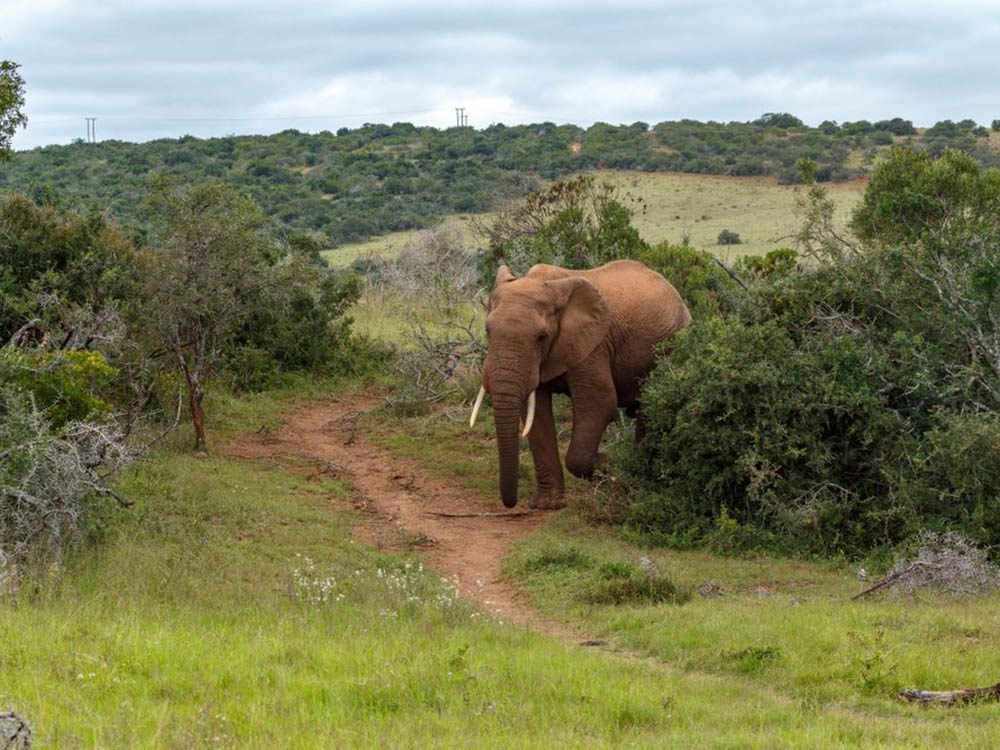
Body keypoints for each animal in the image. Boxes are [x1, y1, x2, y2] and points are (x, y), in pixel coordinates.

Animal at [466, 260, 688, 512]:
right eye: (487, 331)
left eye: (541, 337)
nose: (510, 504)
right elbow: (536, 414)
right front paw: (548, 504)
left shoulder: (593, 345)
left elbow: (599, 404)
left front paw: (608, 465)